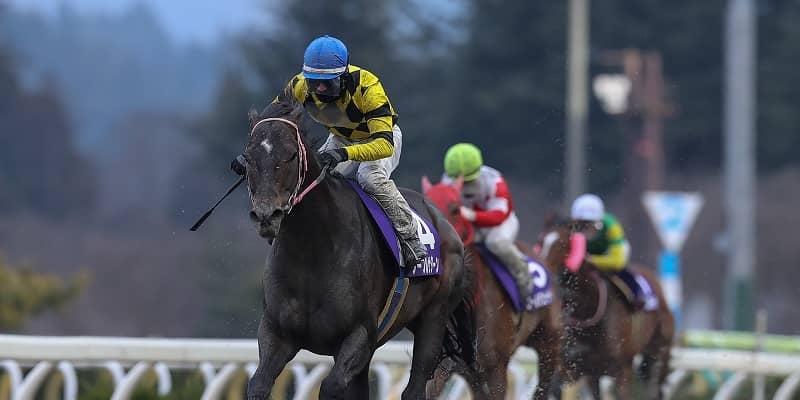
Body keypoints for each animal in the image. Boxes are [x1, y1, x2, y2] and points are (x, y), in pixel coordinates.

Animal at [242, 97, 476, 400]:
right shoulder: (277, 333)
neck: (311, 250)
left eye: (292, 155)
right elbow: (258, 384)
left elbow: (330, 386)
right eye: (248, 158)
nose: (266, 215)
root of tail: (445, 224)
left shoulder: (360, 334)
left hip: (434, 318)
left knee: (415, 386)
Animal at [538, 213, 674, 399]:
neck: (587, 309)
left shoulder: (622, 370)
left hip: (658, 353)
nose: (543, 269)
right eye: (541, 241)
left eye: (563, 244)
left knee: (655, 384)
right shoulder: (572, 369)